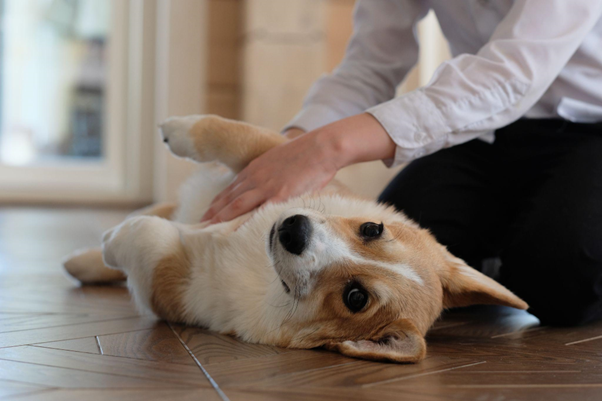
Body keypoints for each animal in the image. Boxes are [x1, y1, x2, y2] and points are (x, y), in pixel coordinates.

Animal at [63, 116, 528, 364]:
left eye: (356, 297)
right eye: (371, 229)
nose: (292, 229)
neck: (263, 269)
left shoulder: (172, 290)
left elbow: (146, 236)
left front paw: (114, 238)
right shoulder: (279, 165)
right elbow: (233, 135)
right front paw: (175, 129)